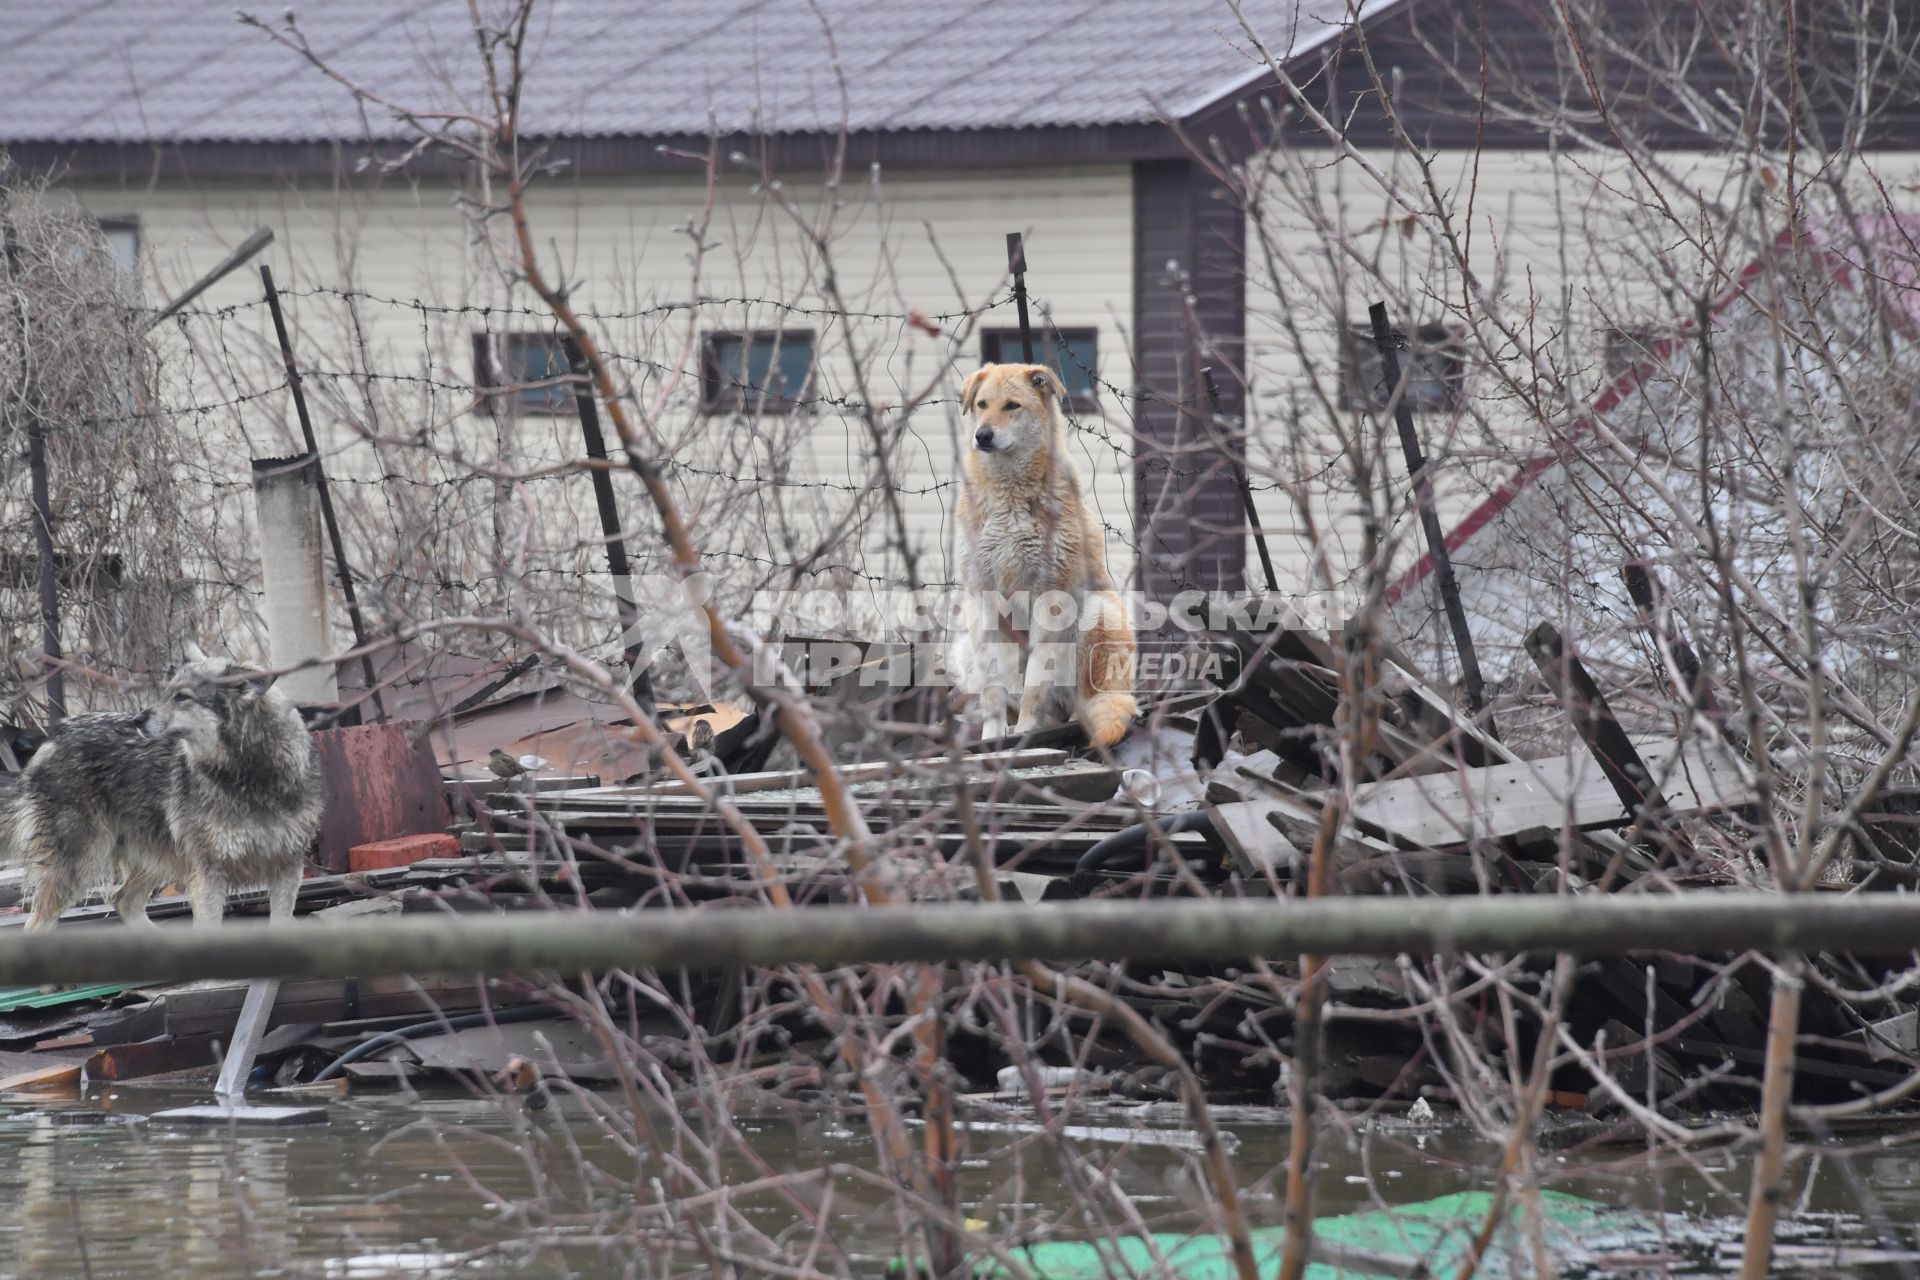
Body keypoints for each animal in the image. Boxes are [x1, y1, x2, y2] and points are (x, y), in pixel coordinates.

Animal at [3, 640, 322, 932]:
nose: (137, 719)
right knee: (37, 924)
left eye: (182, 697)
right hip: (82, 866)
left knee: (124, 901)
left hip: (153, 858)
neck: (249, 777)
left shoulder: (288, 870)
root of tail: (53, 737)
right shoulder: (208, 875)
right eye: (167, 693)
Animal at [948, 362, 1128, 752]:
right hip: (964, 645)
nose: (982, 436)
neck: (1010, 491)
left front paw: (1026, 734)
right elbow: (993, 692)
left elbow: (1035, 683)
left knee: (1086, 701)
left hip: (1093, 616)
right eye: (982, 404)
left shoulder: (1051, 600)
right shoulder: (982, 601)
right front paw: (992, 736)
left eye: (1012, 406)